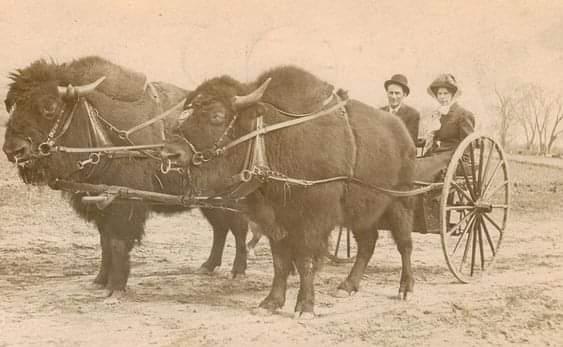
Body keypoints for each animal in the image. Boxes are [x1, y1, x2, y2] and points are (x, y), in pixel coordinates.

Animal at [0, 57, 251, 300]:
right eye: (13, 104)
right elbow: (104, 242)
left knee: (238, 228)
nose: (14, 150)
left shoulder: (124, 206)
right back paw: (207, 266)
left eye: (49, 106)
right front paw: (99, 281)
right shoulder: (101, 205)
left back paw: (237, 271)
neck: (101, 128)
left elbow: (117, 243)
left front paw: (116, 289)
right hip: (208, 202)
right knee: (221, 228)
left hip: (233, 199)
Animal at [161, 65, 416, 318]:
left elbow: (305, 260)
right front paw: (270, 303)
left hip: (399, 203)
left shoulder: (311, 221)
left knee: (404, 243)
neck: (269, 137)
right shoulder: (274, 220)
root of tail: (403, 133)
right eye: (186, 112)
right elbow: (280, 261)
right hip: (363, 212)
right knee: (367, 243)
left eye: (216, 115)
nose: (169, 153)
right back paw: (346, 286)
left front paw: (305, 307)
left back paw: (405, 289)